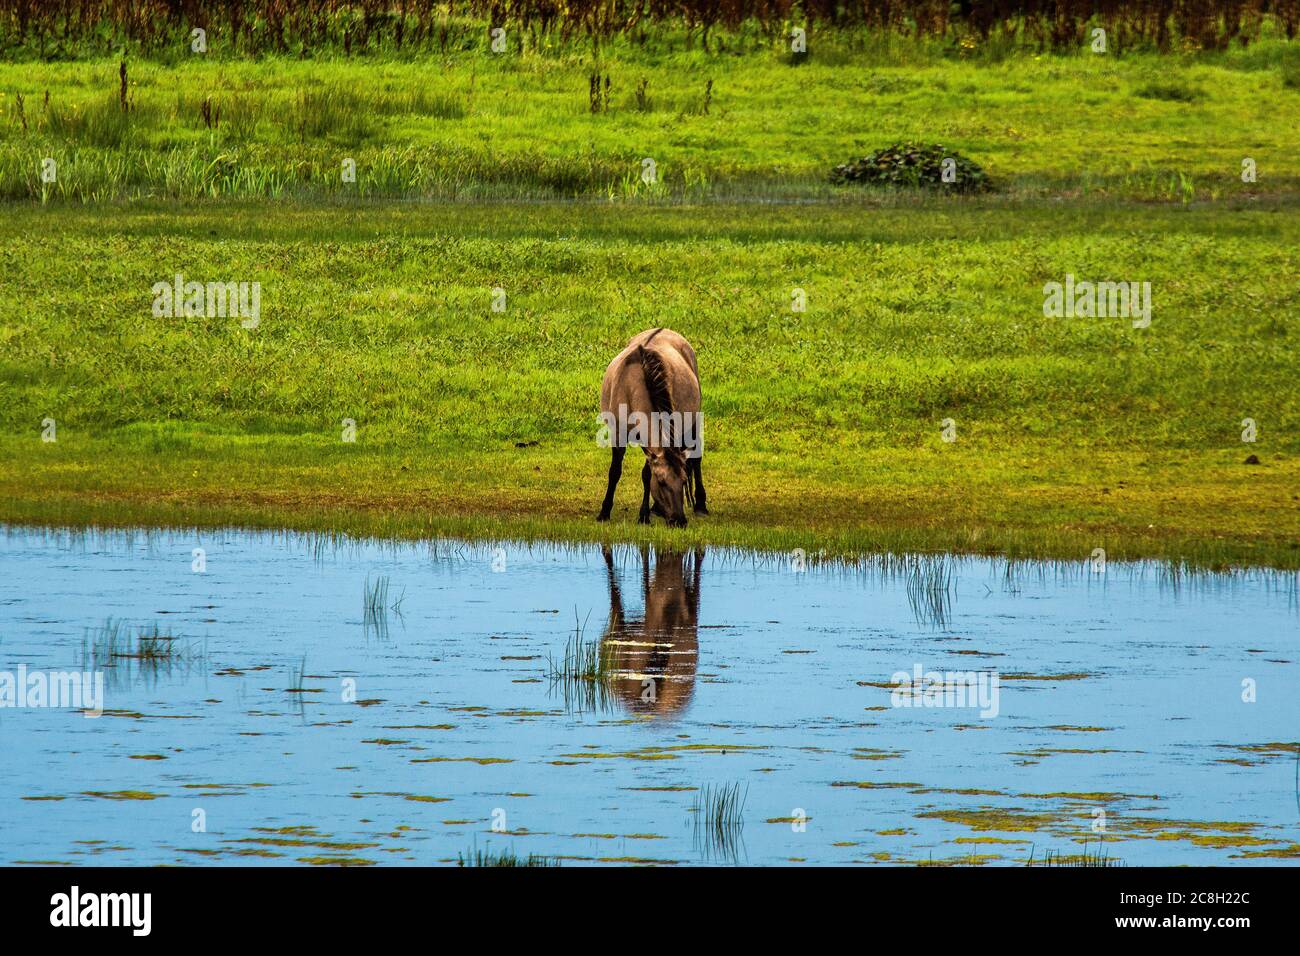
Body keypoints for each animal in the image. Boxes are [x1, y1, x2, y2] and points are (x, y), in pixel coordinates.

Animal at [598, 327, 712, 522]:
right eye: (661, 482)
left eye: (683, 481)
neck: (631, 389)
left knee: (696, 458)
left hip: (693, 421)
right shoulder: (618, 434)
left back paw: (700, 505)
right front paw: (604, 512)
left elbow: (646, 474)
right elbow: (615, 471)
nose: (679, 520)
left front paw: (643, 515)